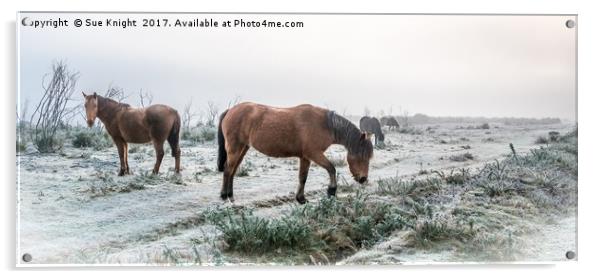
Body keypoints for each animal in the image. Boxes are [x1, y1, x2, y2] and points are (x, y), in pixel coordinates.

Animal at [218, 101, 372, 205]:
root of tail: (230, 110)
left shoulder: (305, 157)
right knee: (228, 170)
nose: (363, 179)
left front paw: (301, 199)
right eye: (361, 156)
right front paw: (331, 191)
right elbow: (331, 169)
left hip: (243, 148)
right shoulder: (314, 154)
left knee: (233, 171)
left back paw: (231, 196)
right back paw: (224, 196)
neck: (324, 124)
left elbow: (302, 178)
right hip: (235, 148)